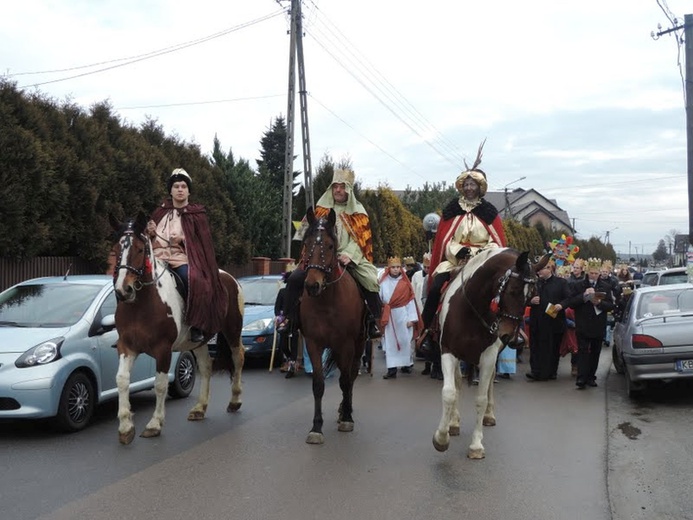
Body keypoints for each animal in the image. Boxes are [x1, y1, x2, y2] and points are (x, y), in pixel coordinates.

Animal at [109, 211, 245, 442]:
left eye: (139, 249)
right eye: (116, 249)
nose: (123, 290)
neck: (142, 303)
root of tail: (229, 277)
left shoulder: (163, 349)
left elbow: (160, 384)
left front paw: (154, 423)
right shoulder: (127, 347)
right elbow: (121, 380)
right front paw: (126, 427)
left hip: (232, 331)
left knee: (238, 358)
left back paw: (235, 401)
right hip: (198, 341)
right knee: (206, 367)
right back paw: (200, 408)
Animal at [302, 206, 370, 442]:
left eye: (331, 246)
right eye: (306, 243)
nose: (312, 285)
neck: (326, 301)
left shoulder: (346, 344)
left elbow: (345, 381)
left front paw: (347, 418)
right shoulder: (313, 343)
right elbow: (318, 384)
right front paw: (316, 427)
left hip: (359, 344)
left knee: (351, 375)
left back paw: (345, 411)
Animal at [430, 250, 544, 458]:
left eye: (532, 296)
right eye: (513, 290)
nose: (511, 338)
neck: (471, 310)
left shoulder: (489, 357)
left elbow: (481, 399)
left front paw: (476, 445)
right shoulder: (448, 351)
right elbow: (449, 392)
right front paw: (441, 438)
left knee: (490, 381)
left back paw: (489, 415)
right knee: (458, 383)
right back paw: (454, 423)